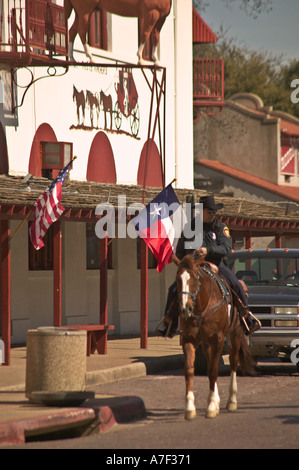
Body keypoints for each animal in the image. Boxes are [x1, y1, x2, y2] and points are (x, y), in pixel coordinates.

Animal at [173, 255, 258, 420]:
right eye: (178, 279)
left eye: (194, 278)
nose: (185, 308)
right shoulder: (188, 339)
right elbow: (190, 370)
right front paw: (190, 407)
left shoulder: (218, 339)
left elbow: (213, 370)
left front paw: (211, 406)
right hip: (207, 343)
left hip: (235, 334)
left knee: (233, 362)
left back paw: (231, 401)